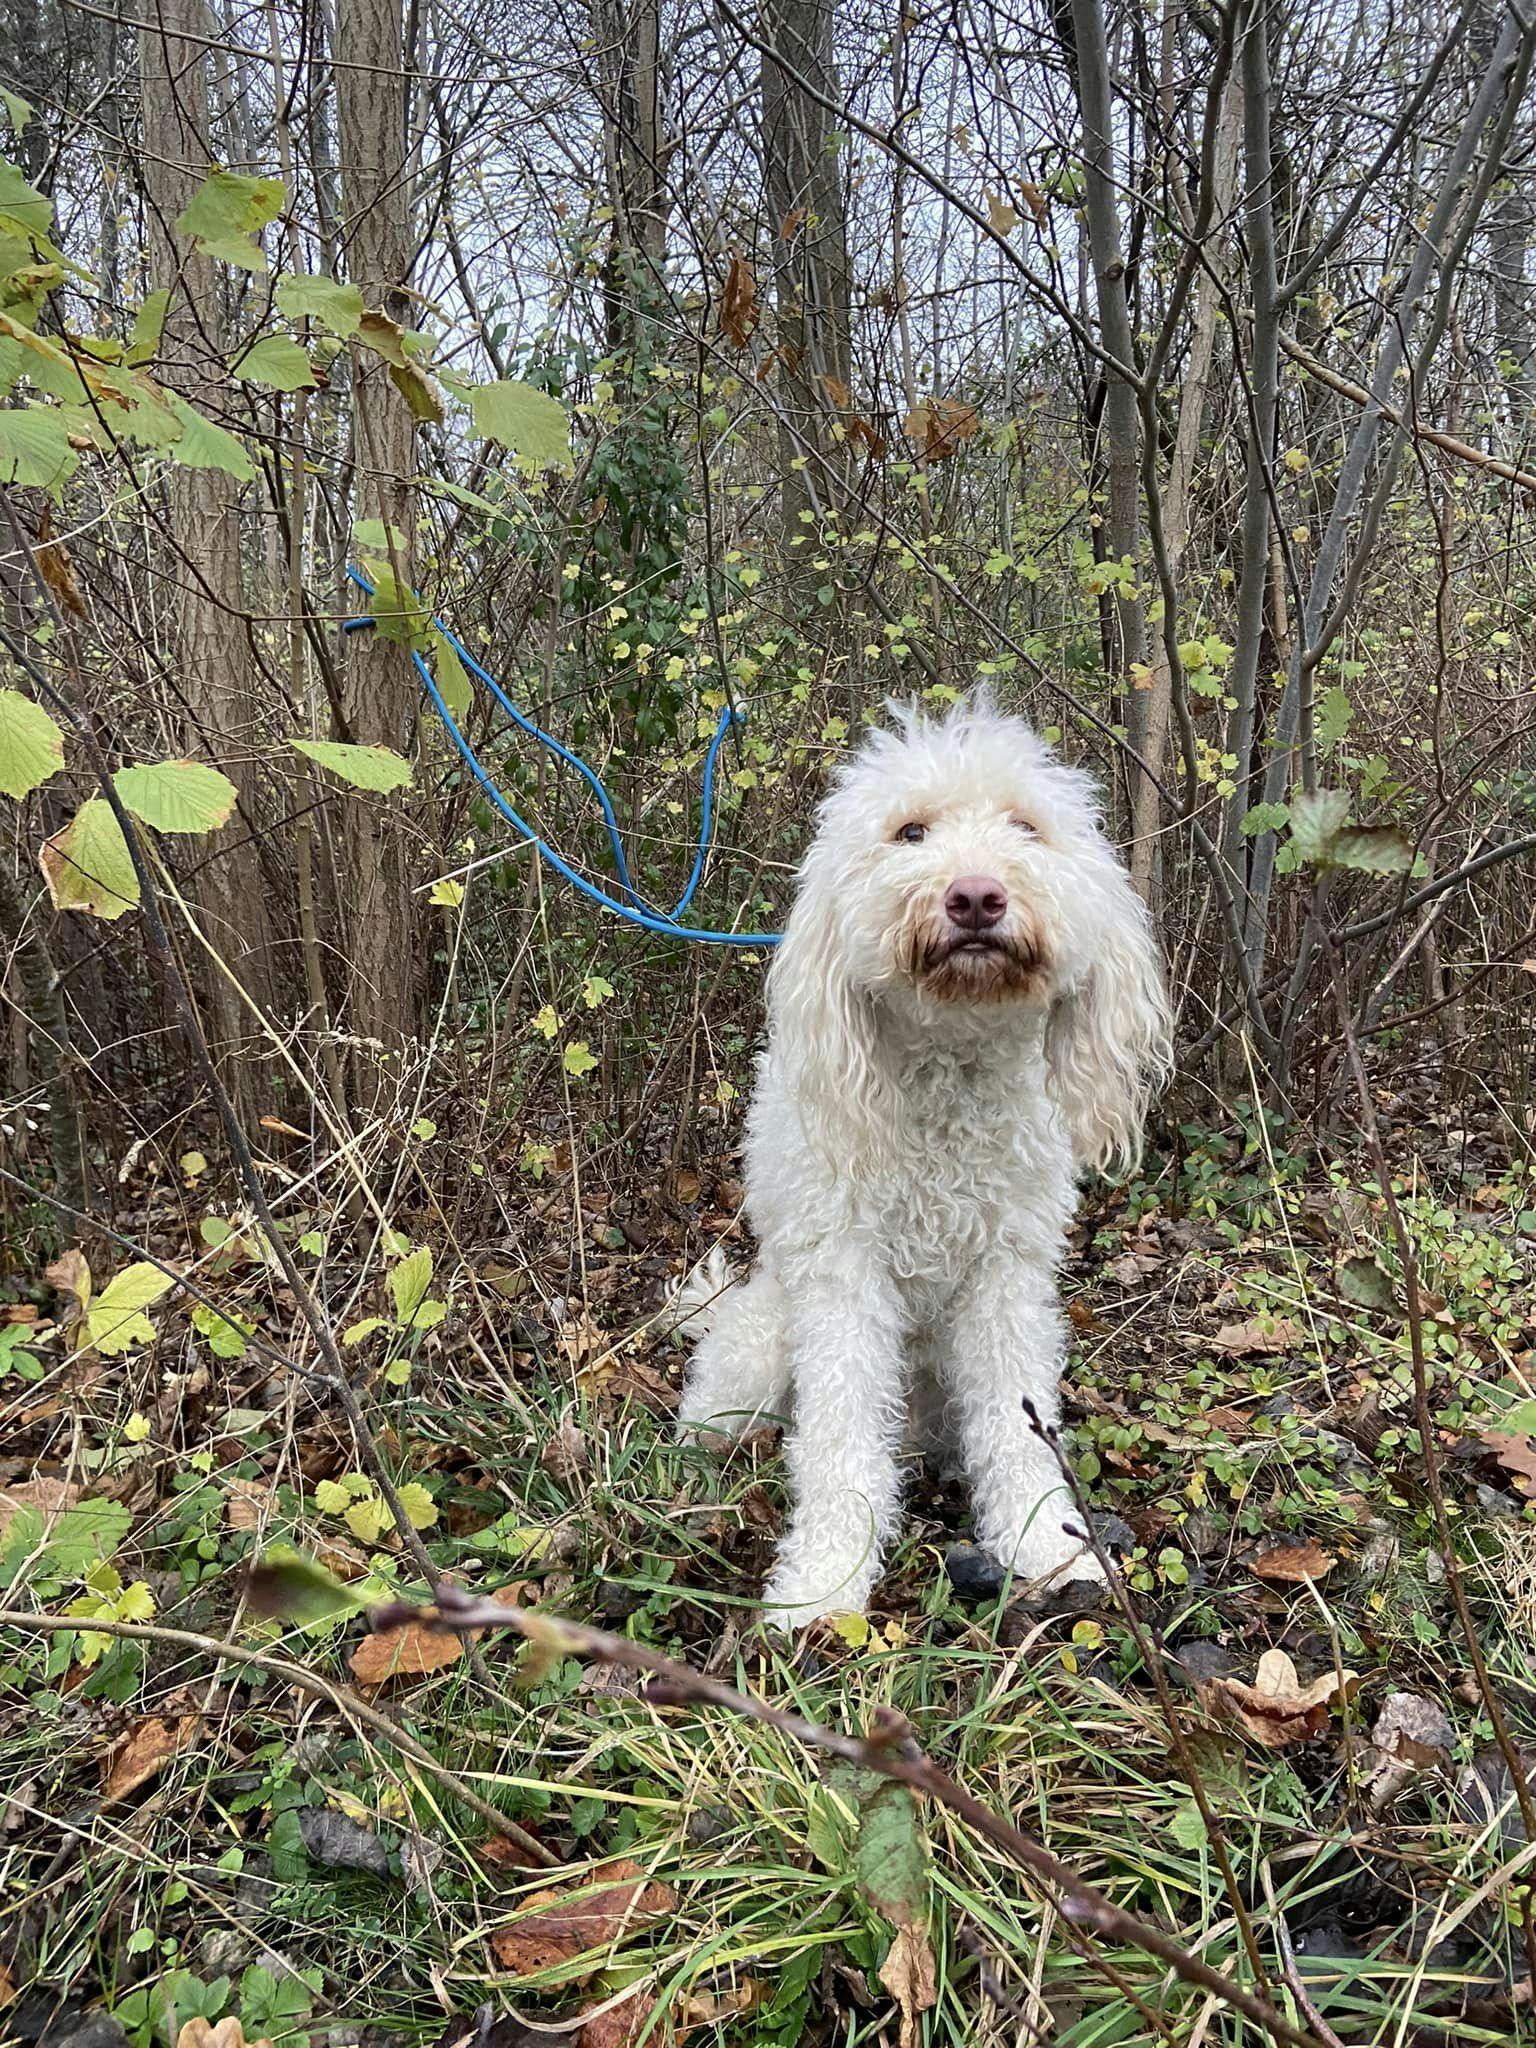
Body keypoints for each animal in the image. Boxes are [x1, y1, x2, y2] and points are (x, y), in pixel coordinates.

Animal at [679, 704, 1171, 1630]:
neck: (952, 1070)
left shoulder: (1006, 1283)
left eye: (1026, 827)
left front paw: (1044, 1544)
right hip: (757, 1354)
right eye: (910, 832)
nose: (976, 895)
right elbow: (838, 1443)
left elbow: (1016, 1429)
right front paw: (823, 1582)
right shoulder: (843, 1280)